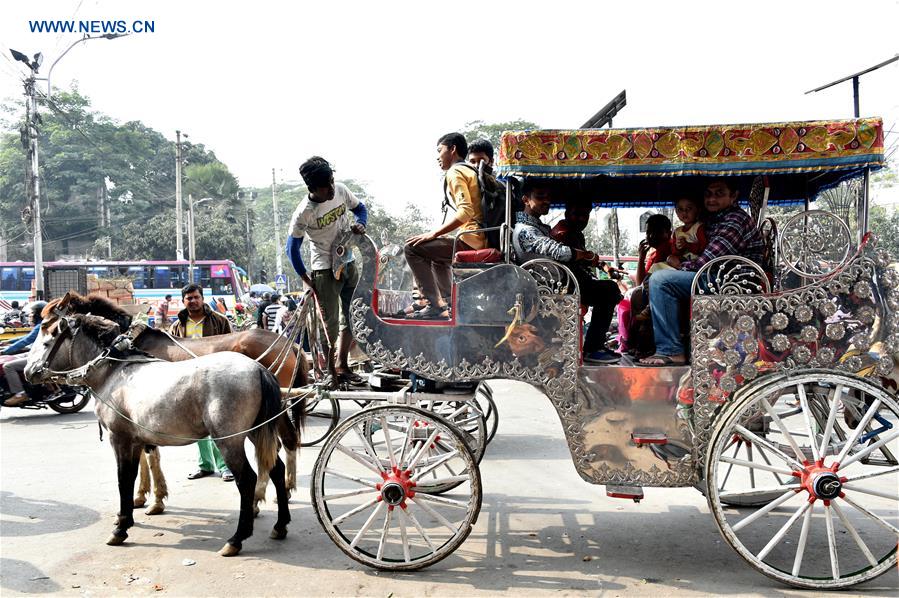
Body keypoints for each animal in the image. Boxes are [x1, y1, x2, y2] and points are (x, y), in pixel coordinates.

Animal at [24, 314, 290, 556]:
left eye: (46, 342)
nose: (28, 371)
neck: (114, 372)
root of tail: (258, 368)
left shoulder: (119, 439)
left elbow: (123, 479)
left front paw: (121, 527)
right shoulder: (137, 441)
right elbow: (136, 474)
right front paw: (132, 513)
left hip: (229, 440)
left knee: (247, 480)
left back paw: (237, 538)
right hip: (255, 432)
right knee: (276, 470)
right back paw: (280, 525)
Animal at [42, 294, 310, 516]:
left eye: (48, 327)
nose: (37, 372)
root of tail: (292, 344)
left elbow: (150, 458)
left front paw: (155, 500)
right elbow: (144, 457)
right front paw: (141, 496)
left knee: (281, 444)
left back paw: (263, 496)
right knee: (281, 444)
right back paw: (280, 490)